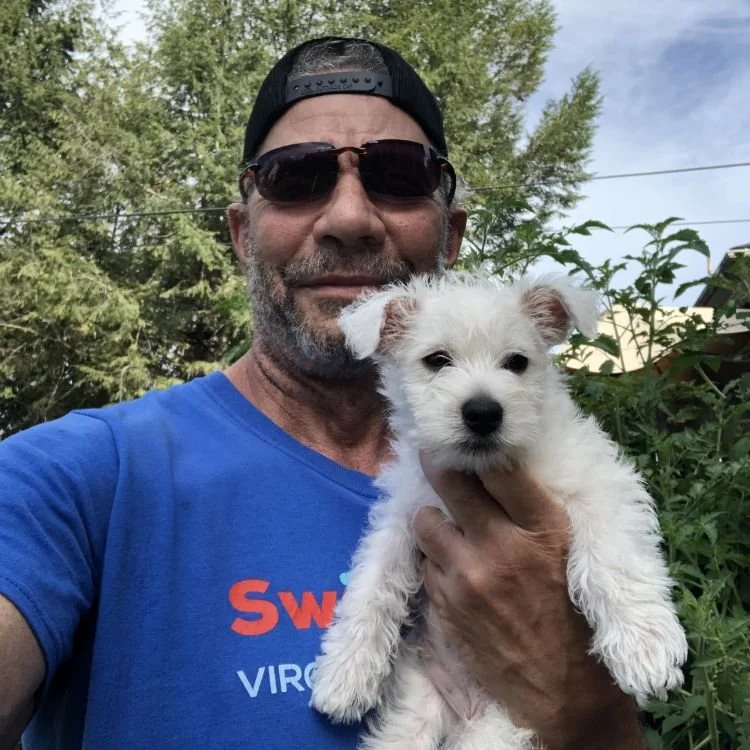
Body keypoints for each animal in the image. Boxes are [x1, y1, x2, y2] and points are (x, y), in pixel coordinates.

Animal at [310, 272, 688, 749]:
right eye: (437, 360)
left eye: (517, 362)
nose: (483, 412)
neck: (479, 472)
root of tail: (467, 712)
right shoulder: (406, 514)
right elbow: (372, 584)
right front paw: (344, 673)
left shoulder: (595, 483)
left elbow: (614, 559)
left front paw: (645, 649)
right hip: (417, 711)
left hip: (503, 727)